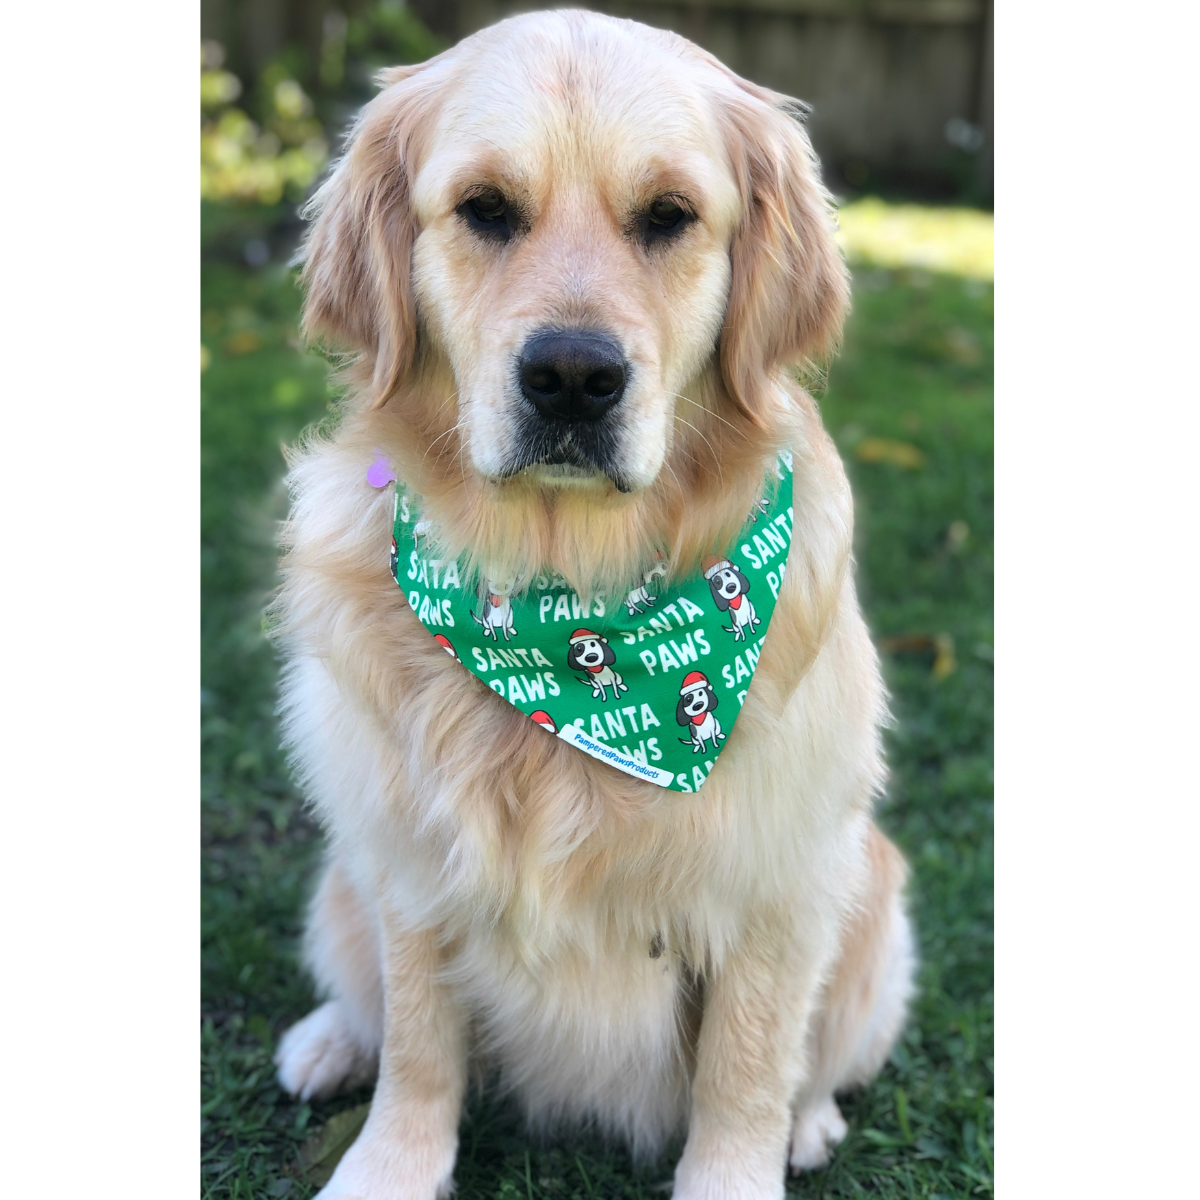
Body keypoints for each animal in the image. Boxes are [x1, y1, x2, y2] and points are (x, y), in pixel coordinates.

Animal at [272, 11, 907, 1200]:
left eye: (669, 216)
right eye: (485, 209)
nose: (571, 376)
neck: (570, 616)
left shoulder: (782, 881)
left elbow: (747, 1068)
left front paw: (744, 1162)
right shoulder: (406, 862)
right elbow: (419, 1042)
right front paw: (387, 1166)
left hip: (874, 911)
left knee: (812, 1064)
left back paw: (810, 1125)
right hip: (341, 873)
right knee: (364, 990)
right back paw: (330, 1040)